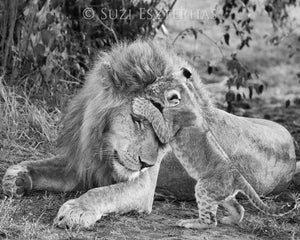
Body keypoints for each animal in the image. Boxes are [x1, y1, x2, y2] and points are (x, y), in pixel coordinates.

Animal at [1, 40, 298, 228]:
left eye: (165, 136)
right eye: (137, 121)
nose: (147, 163)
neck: (103, 144)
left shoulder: (141, 187)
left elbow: (104, 192)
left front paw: (77, 210)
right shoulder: (81, 164)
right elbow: (40, 165)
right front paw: (16, 178)